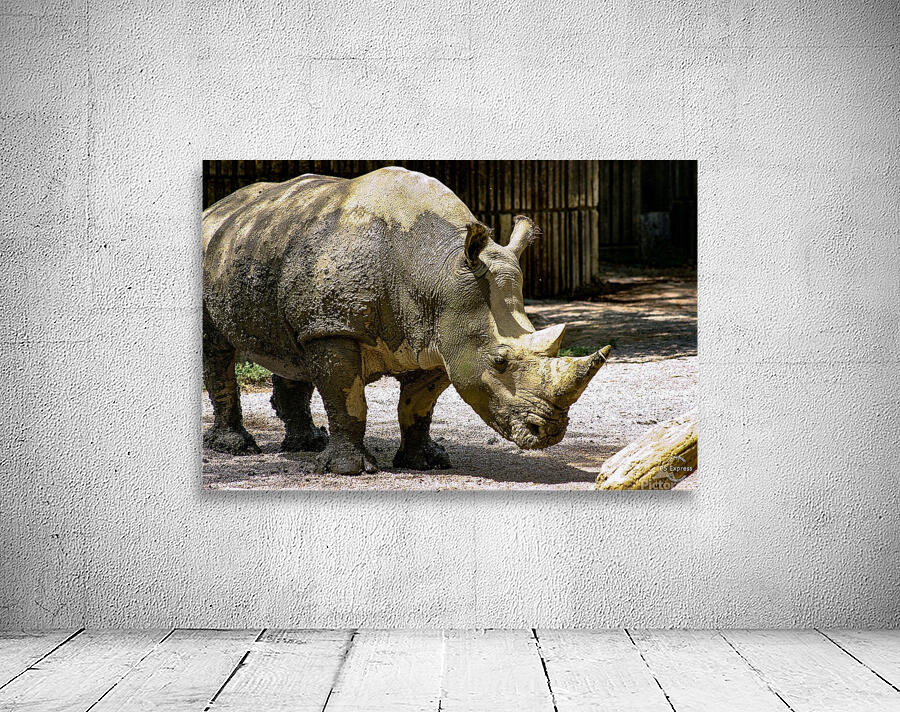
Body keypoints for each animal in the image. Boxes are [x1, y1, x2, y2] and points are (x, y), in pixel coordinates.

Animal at [202, 166, 611, 475]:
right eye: (499, 362)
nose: (550, 432)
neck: (437, 270)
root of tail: (218, 206)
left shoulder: (441, 338)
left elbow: (418, 405)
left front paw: (425, 461)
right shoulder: (337, 327)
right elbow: (346, 398)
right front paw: (349, 470)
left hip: (273, 249)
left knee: (293, 345)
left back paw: (307, 444)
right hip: (217, 247)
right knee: (217, 347)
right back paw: (237, 448)